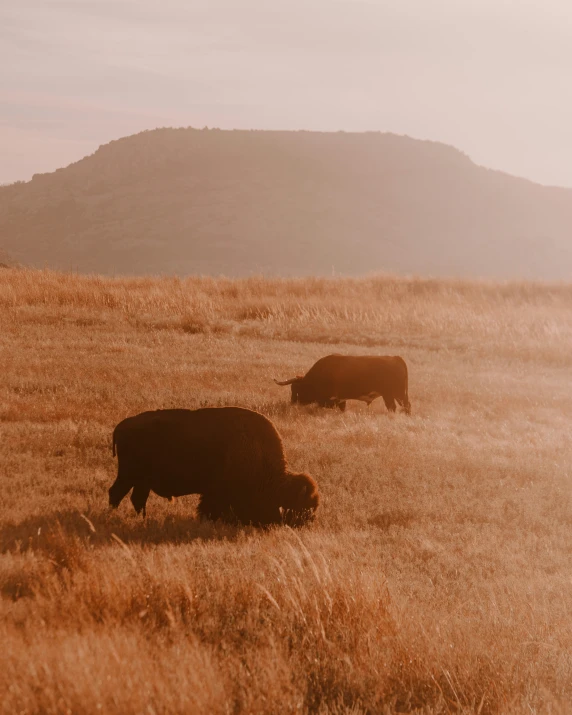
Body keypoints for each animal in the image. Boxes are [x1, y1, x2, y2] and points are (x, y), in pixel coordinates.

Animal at [109, 406, 320, 528]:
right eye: (301, 507)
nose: (307, 524)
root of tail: (121, 426)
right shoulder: (217, 492)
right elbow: (210, 508)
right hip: (128, 475)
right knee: (116, 493)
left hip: (141, 480)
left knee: (137, 499)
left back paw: (141, 519)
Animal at [274, 354, 412, 414]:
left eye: (296, 389)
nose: (292, 403)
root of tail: (395, 358)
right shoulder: (340, 399)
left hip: (393, 394)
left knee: (395, 407)